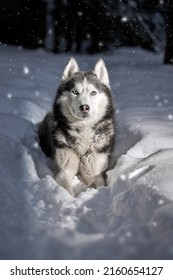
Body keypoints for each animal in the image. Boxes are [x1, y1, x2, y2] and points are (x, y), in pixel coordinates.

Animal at [38, 58, 115, 196]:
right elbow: (67, 189)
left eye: (93, 93)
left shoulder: (95, 173)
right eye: (75, 92)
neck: (83, 130)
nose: (84, 107)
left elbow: (98, 184)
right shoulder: (64, 171)